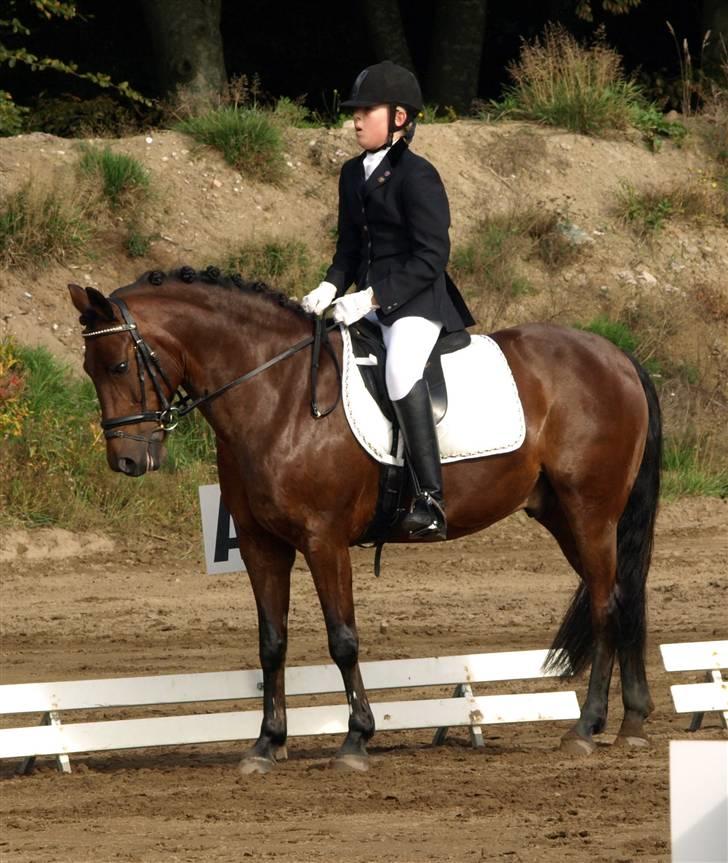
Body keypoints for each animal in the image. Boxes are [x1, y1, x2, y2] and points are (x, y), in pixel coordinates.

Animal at [68, 267, 661, 773]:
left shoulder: (323, 540)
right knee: (623, 595)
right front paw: (266, 744)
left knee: (606, 604)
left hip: (590, 511)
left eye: (118, 365)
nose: (127, 461)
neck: (277, 396)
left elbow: (342, 638)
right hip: (563, 515)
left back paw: (586, 727)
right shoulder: (262, 545)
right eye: (90, 369)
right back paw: (632, 723)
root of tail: (617, 355)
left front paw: (356, 739)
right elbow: (272, 642)